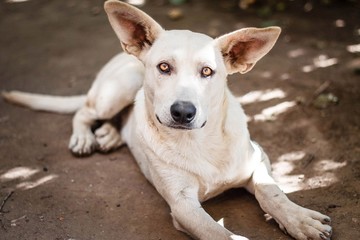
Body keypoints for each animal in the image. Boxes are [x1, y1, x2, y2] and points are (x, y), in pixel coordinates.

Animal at [2, 0, 332, 239]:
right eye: (163, 67)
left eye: (207, 71)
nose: (183, 112)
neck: (201, 141)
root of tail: (123, 55)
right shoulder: (182, 203)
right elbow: (216, 232)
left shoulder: (258, 157)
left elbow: (271, 192)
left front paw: (298, 219)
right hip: (118, 88)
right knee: (84, 110)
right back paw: (85, 137)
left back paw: (110, 135)